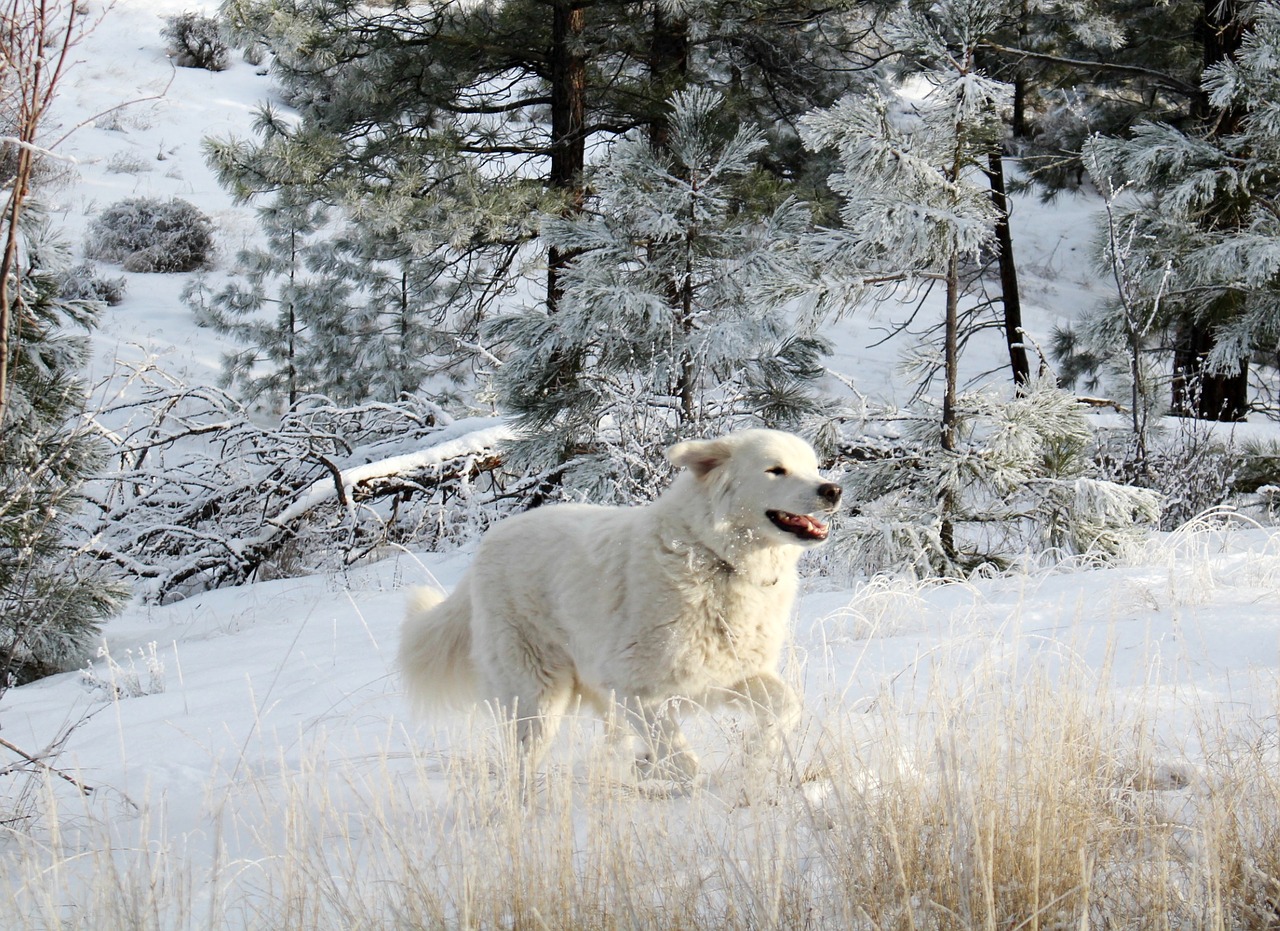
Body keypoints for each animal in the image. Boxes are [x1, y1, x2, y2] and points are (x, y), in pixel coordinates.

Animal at [396, 430, 839, 778]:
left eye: (813, 467)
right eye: (775, 470)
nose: (832, 490)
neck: (717, 559)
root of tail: (486, 546)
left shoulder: (730, 676)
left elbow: (787, 707)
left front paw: (753, 756)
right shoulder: (638, 691)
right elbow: (685, 763)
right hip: (537, 696)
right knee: (523, 759)